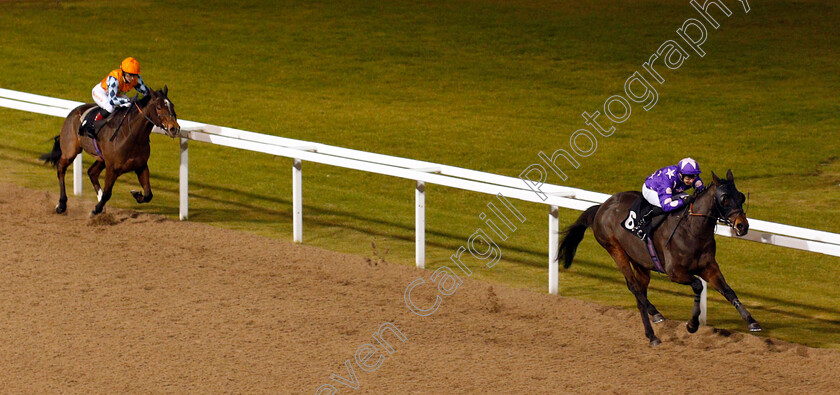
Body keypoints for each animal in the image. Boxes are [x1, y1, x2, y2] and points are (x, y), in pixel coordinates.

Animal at [39, 86, 180, 217]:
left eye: (172, 105)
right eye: (159, 107)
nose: (174, 128)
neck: (131, 136)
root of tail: (73, 112)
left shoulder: (141, 166)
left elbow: (148, 194)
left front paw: (136, 194)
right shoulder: (112, 168)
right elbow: (107, 193)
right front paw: (96, 210)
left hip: (101, 158)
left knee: (92, 172)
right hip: (70, 151)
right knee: (61, 169)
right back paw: (61, 205)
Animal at [556, 170, 760, 346]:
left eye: (741, 196)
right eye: (724, 198)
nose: (742, 226)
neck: (693, 230)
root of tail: (602, 207)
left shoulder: (709, 267)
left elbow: (728, 291)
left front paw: (751, 321)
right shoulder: (675, 272)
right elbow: (698, 285)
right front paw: (692, 325)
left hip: (640, 261)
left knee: (640, 290)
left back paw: (653, 324)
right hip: (615, 249)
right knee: (634, 287)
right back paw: (654, 325)